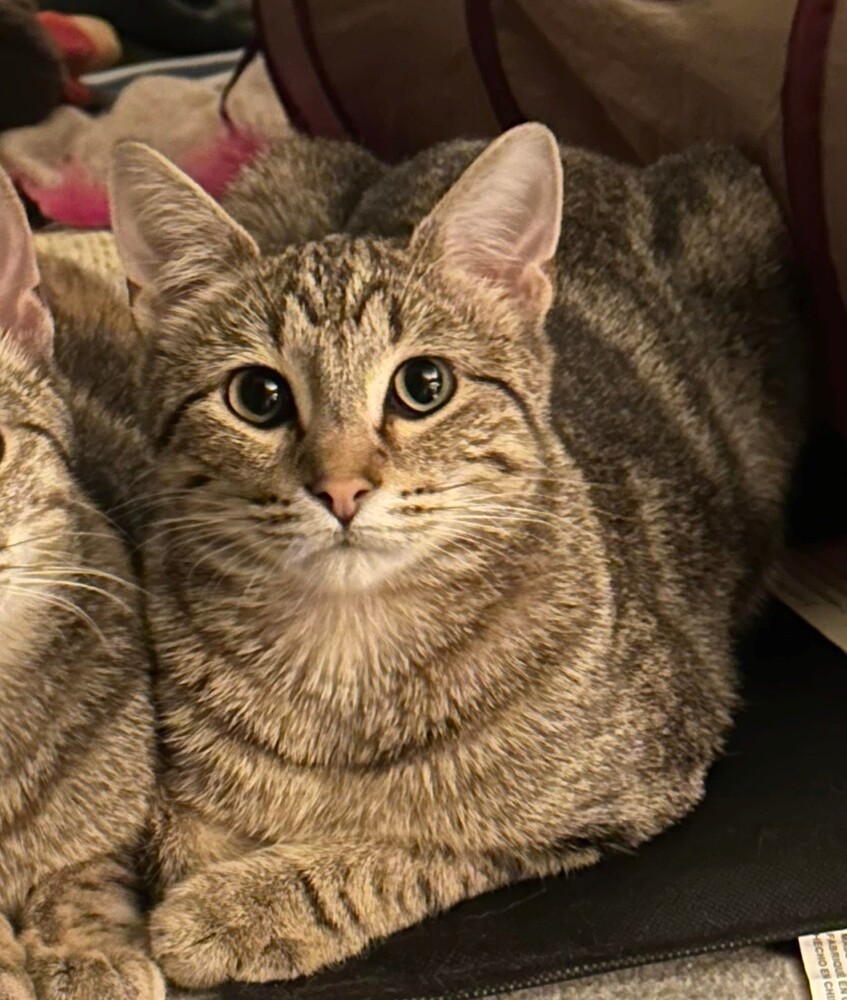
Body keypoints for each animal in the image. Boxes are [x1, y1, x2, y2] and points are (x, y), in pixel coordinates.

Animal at [109, 123, 812, 984]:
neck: (346, 657)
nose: (340, 488)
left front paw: (240, 906)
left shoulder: (626, 790)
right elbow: (176, 823)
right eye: (258, 396)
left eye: (424, 384)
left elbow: (411, 845)